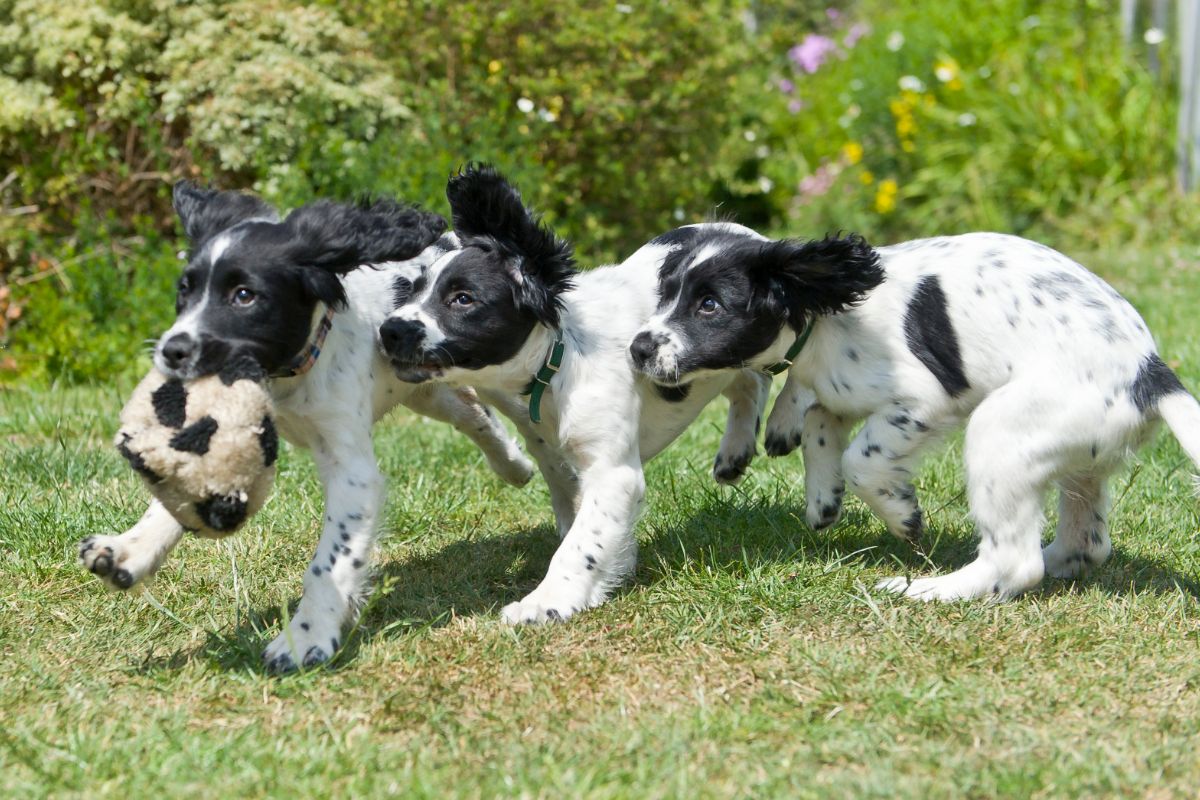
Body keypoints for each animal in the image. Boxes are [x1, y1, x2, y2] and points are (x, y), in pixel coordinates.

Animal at [81, 181, 535, 671]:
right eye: (184, 291)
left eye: (245, 295)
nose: (171, 350)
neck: (287, 374)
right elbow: (180, 486)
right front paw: (129, 549)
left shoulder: (351, 468)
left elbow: (329, 561)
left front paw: (306, 637)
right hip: (427, 389)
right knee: (472, 413)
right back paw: (515, 466)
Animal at [379, 164, 768, 623]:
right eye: (413, 290)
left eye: (462, 299)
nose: (389, 330)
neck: (560, 358)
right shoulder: (554, 447)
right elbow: (580, 514)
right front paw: (609, 571)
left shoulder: (612, 470)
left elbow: (582, 542)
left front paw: (545, 602)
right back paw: (734, 453)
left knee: (756, 377)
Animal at [628, 225, 1200, 599]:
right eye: (665, 294)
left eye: (709, 305)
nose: (637, 348)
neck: (826, 314)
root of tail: (1150, 374)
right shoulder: (840, 392)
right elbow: (819, 422)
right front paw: (822, 499)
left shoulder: (921, 399)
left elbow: (859, 458)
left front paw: (901, 514)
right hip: (1077, 453)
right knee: (1087, 541)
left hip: (1001, 431)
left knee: (1016, 562)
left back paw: (925, 589)